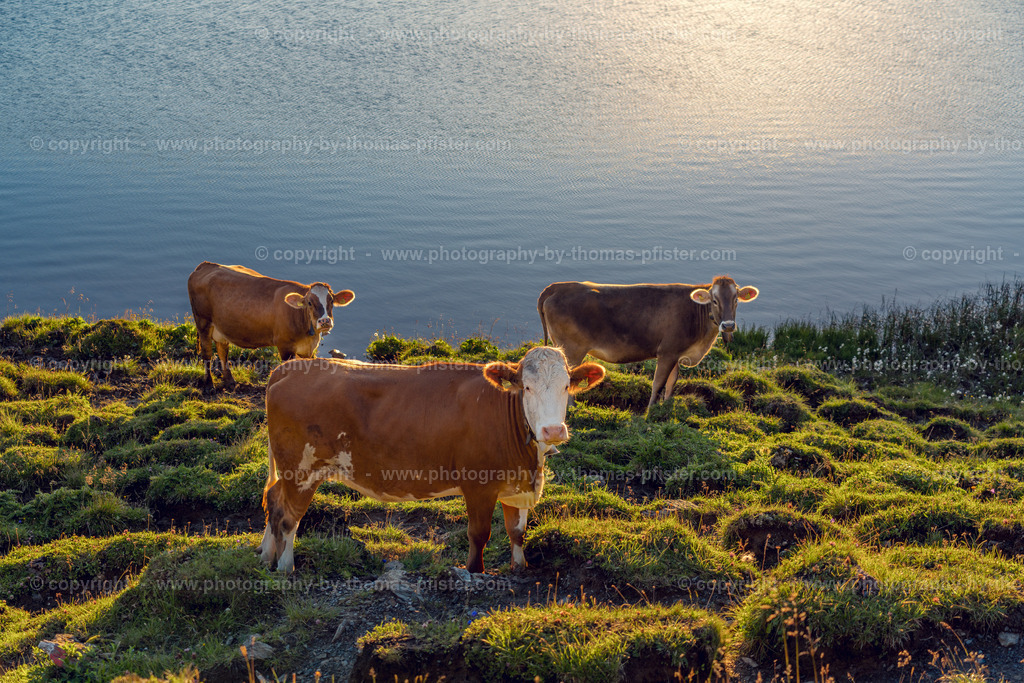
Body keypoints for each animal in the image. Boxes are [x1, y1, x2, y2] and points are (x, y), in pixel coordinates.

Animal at [187, 262, 355, 389]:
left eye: (331, 300)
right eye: (309, 302)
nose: (325, 321)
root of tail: (207, 265)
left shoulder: (308, 349)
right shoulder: (285, 346)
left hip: (221, 327)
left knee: (222, 350)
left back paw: (230, 381)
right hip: (202, 322)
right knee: (207, 353)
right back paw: (209, 385)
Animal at [259, 346, 605, 574]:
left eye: (566, 386)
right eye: (527, 387)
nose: (553, 430)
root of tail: (291, 368)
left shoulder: (516, 486)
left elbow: (517, 531)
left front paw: (520, 567)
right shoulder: (479, 485)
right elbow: (479, 534)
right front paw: (475, 572)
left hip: (290, 471)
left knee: (273, 501)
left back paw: (266, 555)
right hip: (302, 470)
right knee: (288, 517)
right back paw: (286, 568)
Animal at [537, 276, 758, 410]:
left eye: (736, 300)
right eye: (714, 300)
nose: (728, 326)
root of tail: (559, 286)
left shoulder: (676, 354)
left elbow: (671, 383)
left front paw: (666, 408)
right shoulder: (667, 352)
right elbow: (658, 383)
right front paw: (650, 411)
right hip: (572, 349)